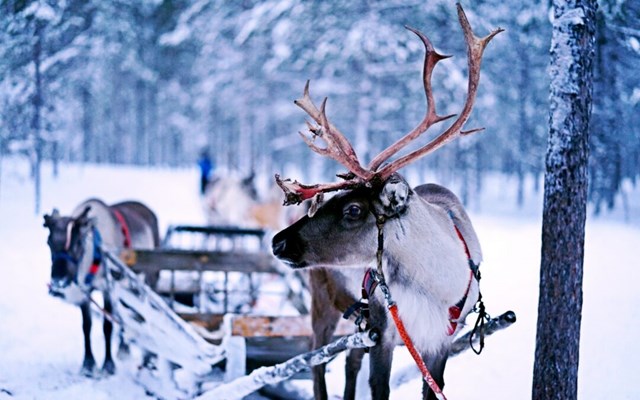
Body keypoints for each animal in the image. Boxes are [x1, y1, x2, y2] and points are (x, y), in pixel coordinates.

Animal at [271, 4, 502, 400]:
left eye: (353, 210)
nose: (278, 241)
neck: (434, 286)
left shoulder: (438, 340)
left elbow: (432, 387)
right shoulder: (384, 329)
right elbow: (379, 385)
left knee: (348, 361)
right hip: (323, 303)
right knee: (316, 361)